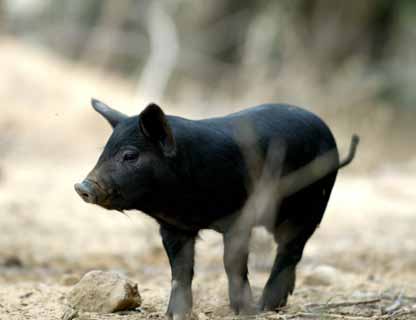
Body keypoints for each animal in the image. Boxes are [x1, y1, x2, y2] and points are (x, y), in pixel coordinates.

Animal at [74, 99, 358, 318]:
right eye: (104, 151)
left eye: (130, 155)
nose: (81, 186)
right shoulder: (174, 228)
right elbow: (180, 270)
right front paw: (174, 314)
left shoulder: (239, 219)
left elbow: (232, 263)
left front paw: (244, 312)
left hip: (312, 206)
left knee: (290, 249)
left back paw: (266, 306)